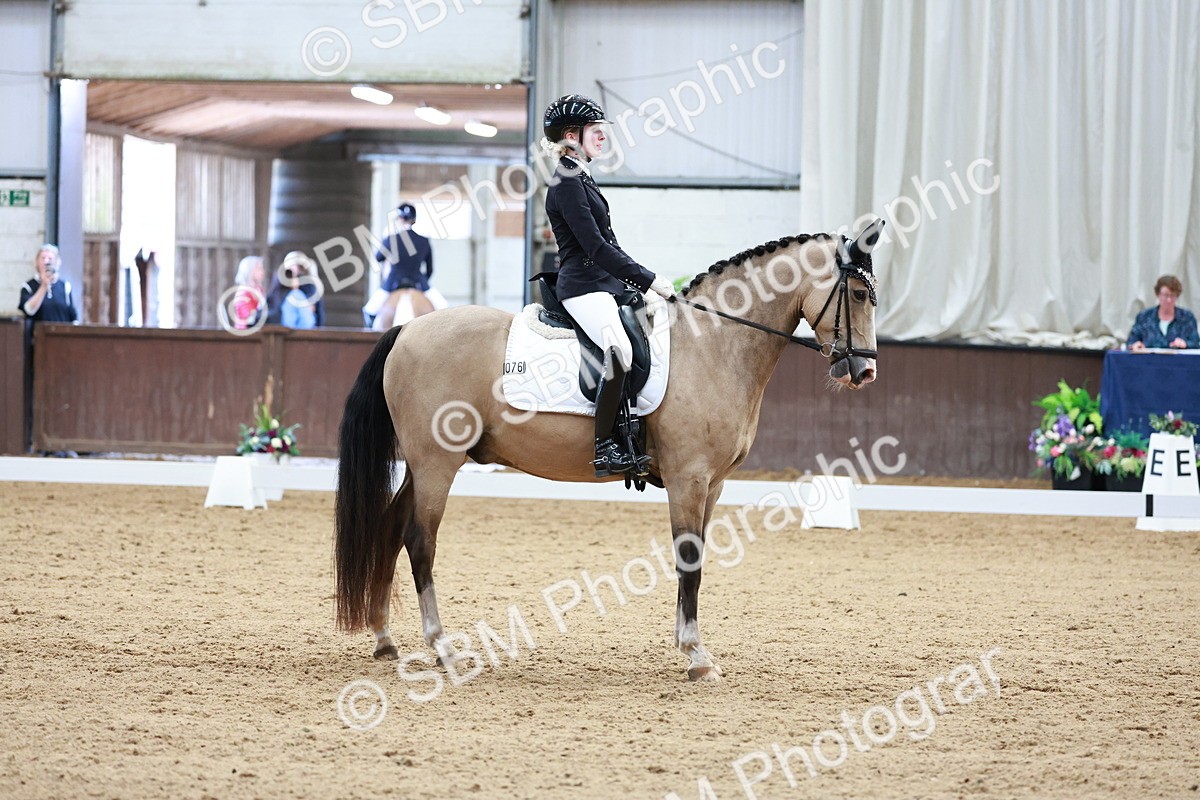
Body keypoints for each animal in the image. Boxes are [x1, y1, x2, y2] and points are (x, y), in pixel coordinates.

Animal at [335, 221, 882, 682]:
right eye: (858, 293)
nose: (865, 372)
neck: (714, 345)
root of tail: (408, 329)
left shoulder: (714, 484)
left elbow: (696, 560)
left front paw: (687, 646)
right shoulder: (689, 477)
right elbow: (689, 558)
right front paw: (697, 657)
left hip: (423, 464)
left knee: (389, 528)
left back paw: (385, 639)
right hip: (437, 464)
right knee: (419, 542)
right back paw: (443, 648)